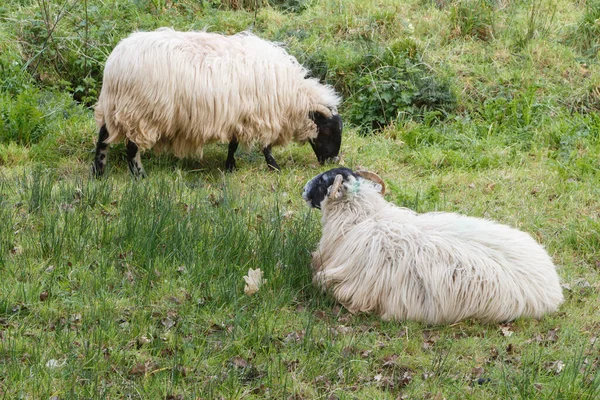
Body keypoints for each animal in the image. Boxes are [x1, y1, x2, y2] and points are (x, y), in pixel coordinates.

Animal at [89, 28, 342, 177]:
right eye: (329, 131)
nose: (332, 161)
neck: (293, 96)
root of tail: (115, 62)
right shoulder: (261, 115)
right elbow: (265, 145)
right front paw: (274, 167)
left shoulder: (239, 115)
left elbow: (233, 144)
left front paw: (230, 167)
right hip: (141, 110)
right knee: (132, 147)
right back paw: (139, 176)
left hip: (116, 107)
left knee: (103, 137)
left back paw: (99, 171)